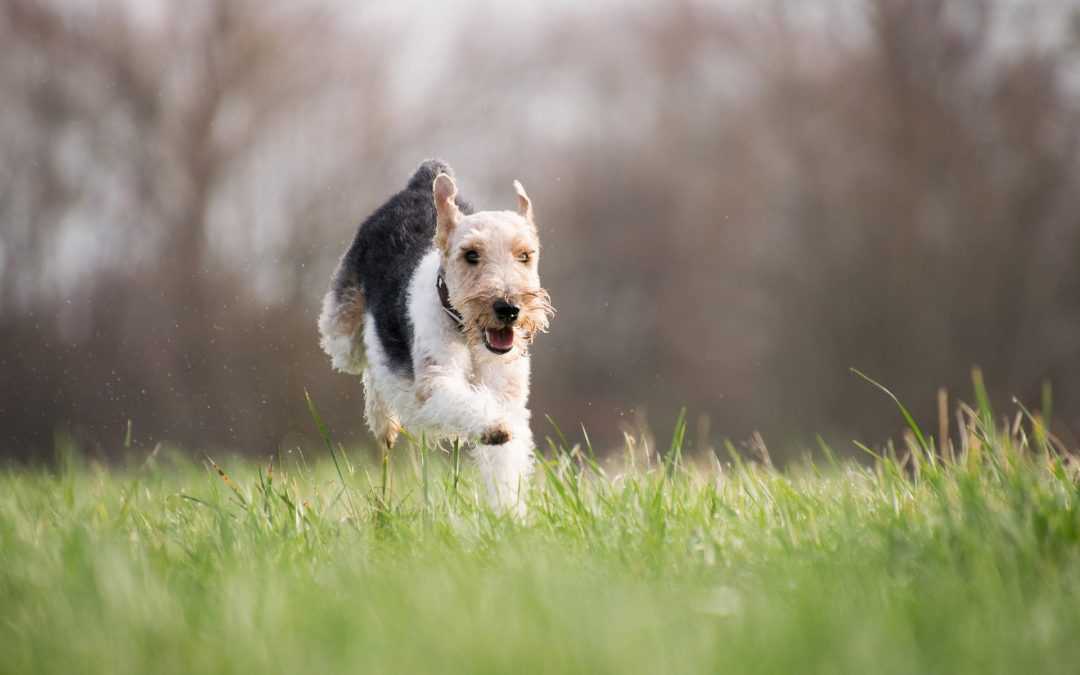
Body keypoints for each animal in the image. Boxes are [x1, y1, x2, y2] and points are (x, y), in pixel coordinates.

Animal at [317, 160, 557, 509]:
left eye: (525, 255)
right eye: (471, 254)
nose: (508, 309)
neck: (467, 335)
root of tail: (421, 180)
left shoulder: (508, 396)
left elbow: (505, 463)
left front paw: (508, 513)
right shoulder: (436, 382)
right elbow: (465, 403)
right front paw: (493, 427)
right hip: (342, 334)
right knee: (369, 363)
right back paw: (384, 423)